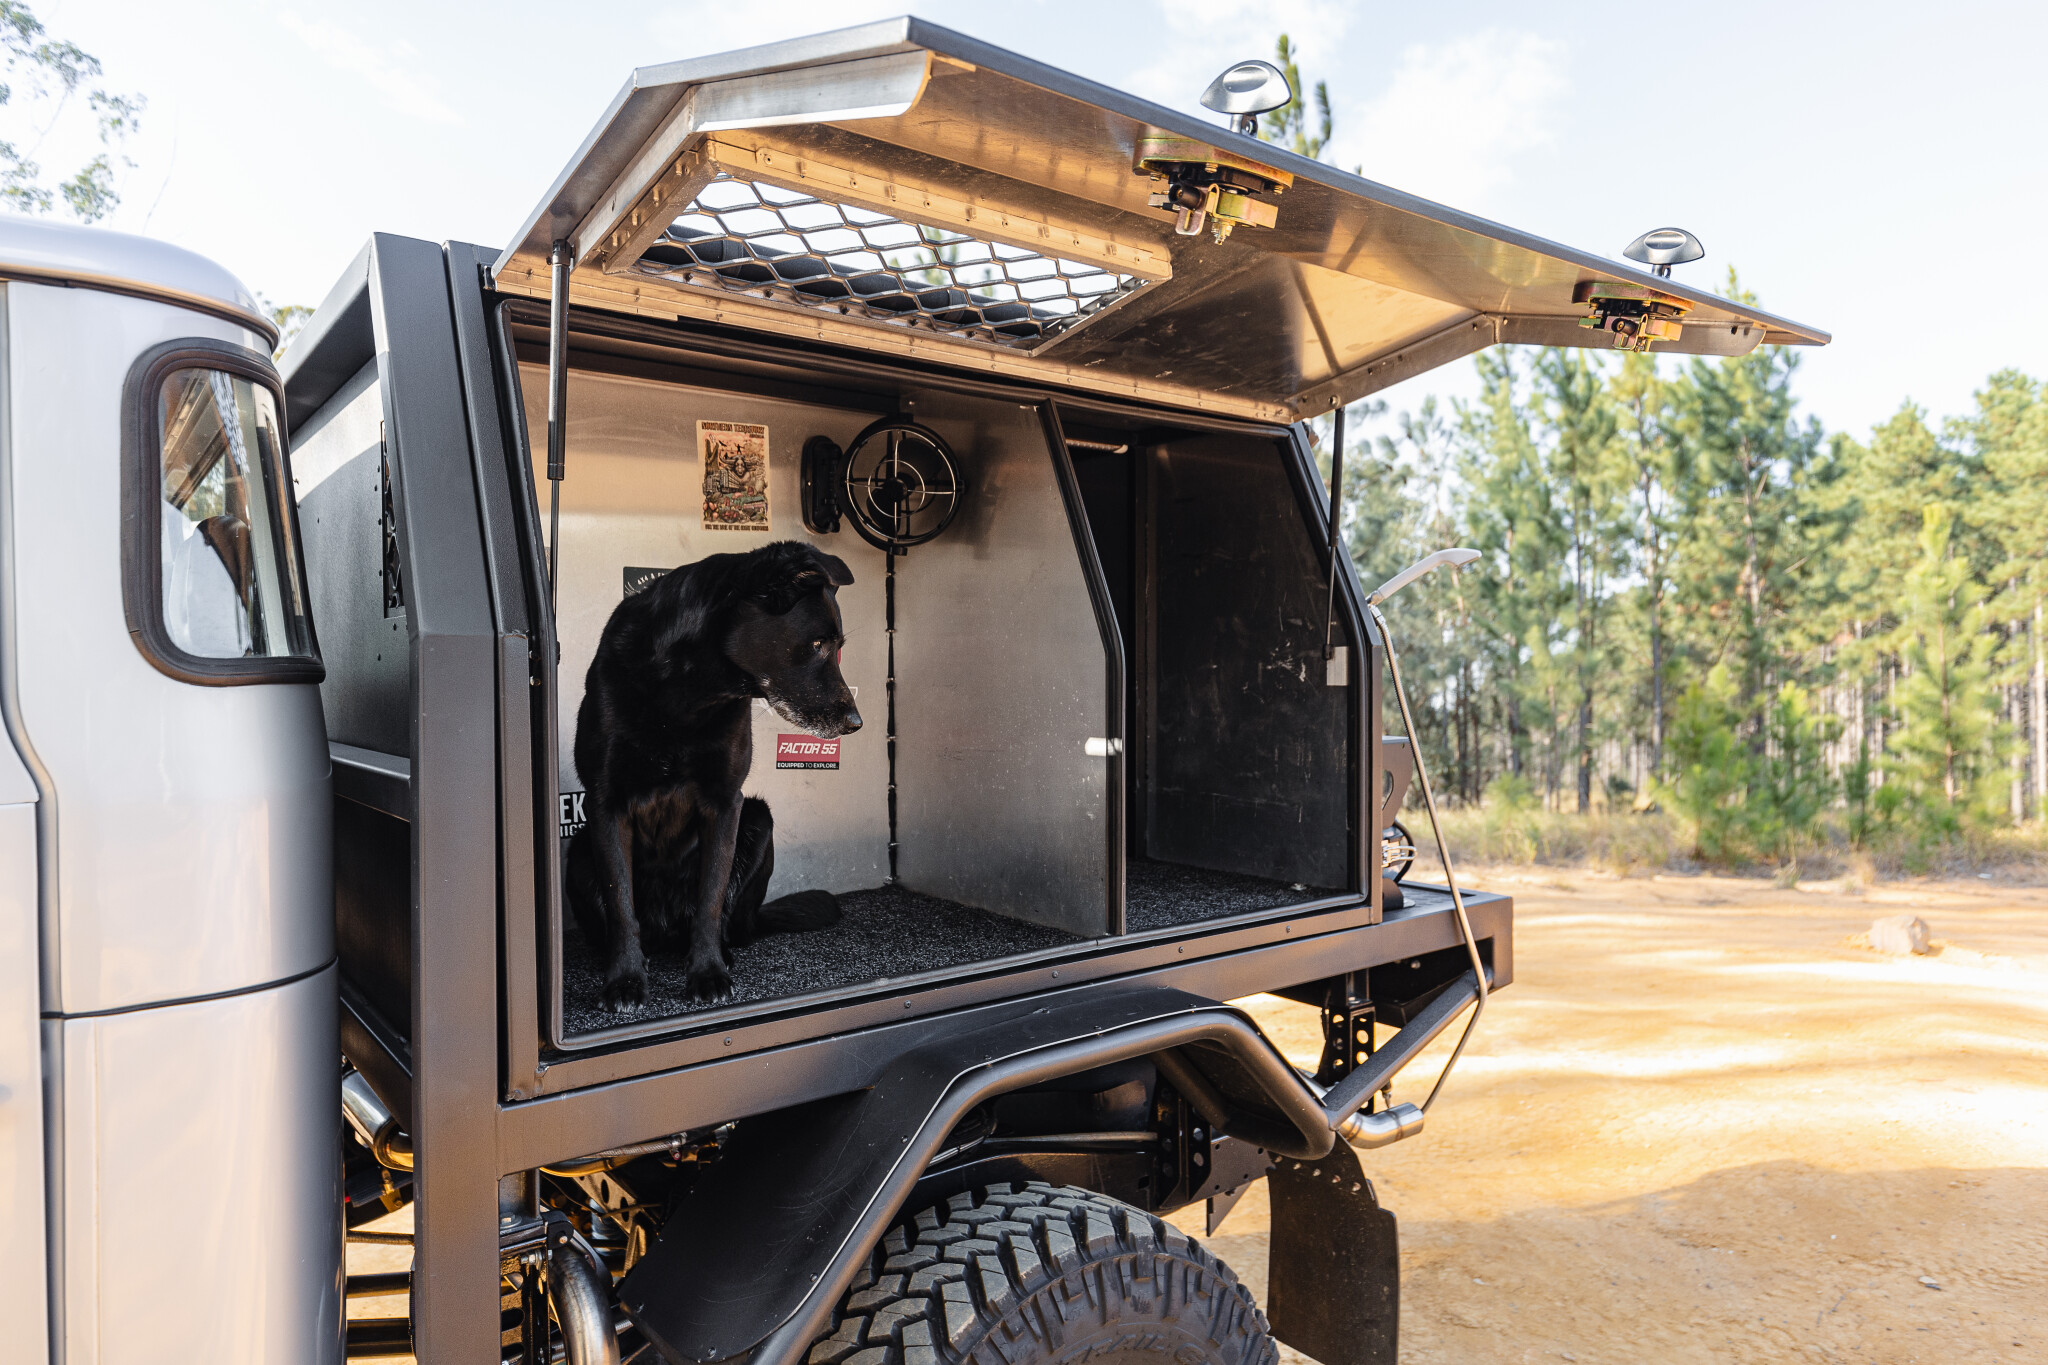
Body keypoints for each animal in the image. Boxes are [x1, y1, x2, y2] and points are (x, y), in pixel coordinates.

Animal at [569, 540, 864, 1010]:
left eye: (836, 647)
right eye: (819, 644)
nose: (856, 723)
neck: (685, 693)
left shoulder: (726, 803)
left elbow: (710, 897)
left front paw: (707, 973)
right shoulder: (605, 804)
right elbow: (620, 901)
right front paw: (625, 979)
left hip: (758, 819)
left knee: (726, 920)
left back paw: (720, 951)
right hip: (578, 848)